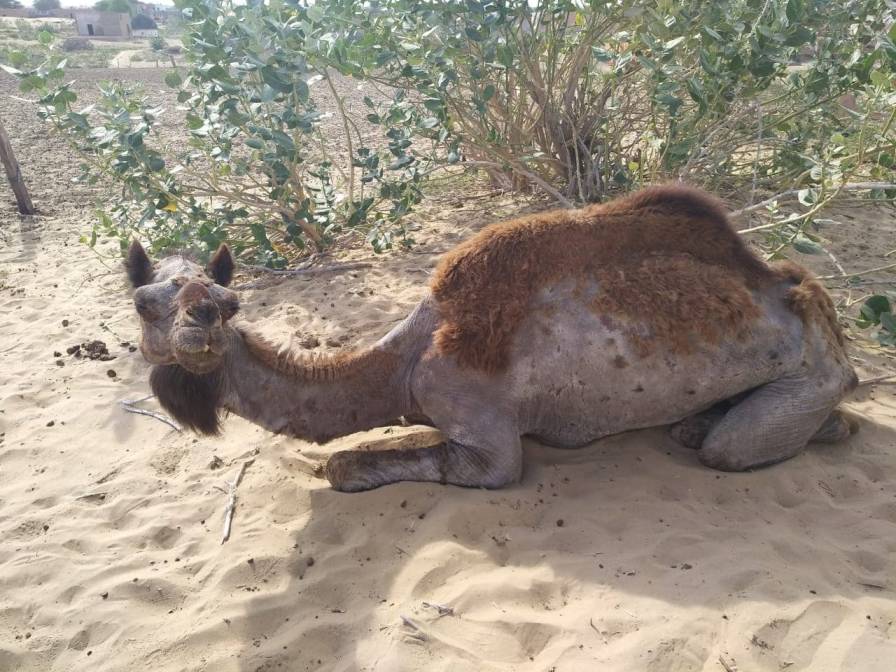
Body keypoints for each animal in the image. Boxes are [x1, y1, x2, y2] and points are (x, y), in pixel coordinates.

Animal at [126, 186, 860, 490]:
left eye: (228, 302)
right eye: (144, 302)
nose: (199, 327)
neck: (399, 363)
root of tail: (804, 296)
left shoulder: (479, 429)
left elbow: (349, 467)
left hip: (812, 372)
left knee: (735, 446)